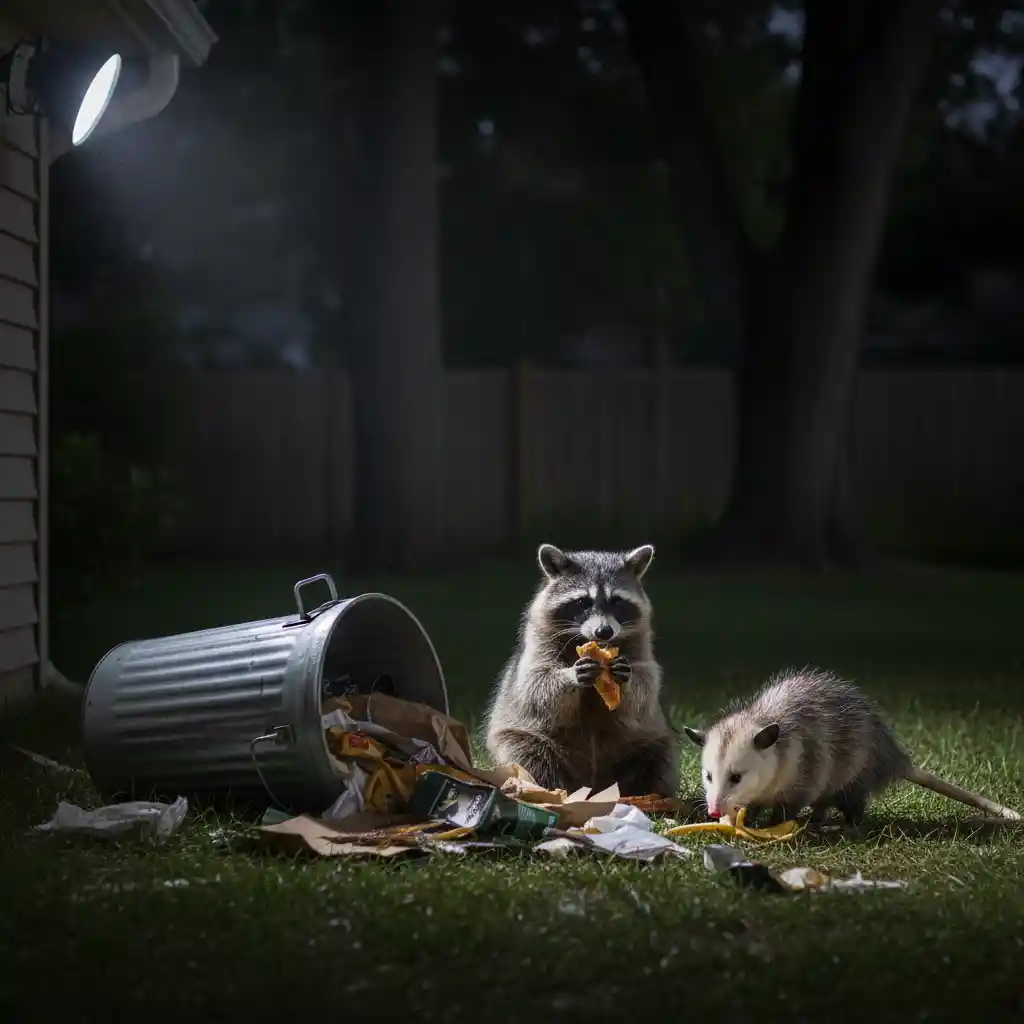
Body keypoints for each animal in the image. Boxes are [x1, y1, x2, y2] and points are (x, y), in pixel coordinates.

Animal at [484, 542, 679, 797]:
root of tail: (593, 787)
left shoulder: (640, 644)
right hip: (522, 735)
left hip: (645, 739)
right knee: (527, 754)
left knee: (658, 755)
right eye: (582, 602)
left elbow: (645, 686)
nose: (604, 632)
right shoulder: (538, 644)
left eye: (617, 601)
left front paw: (626, 679)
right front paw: (570, 676)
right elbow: (535, 684)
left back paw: (649, 793)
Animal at [684, 667, 1020, 826]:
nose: (713, 811)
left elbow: (789, 806)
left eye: (736, 777)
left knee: (853, 803)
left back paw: (845, 825)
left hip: (856, 776)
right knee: (823, 803)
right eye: (708, 776)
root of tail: (892, 757)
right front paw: (746, 817)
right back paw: (818, 819)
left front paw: (772, 824)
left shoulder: (806, 773)